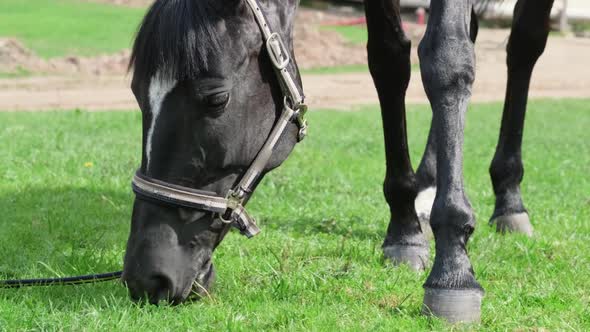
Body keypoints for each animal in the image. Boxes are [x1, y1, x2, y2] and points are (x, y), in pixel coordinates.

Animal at [122, 0, 556, 322]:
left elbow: (448, 59)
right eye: (137, 92)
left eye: (216, 99)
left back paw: (509, 196)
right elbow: (388, 58)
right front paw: (404, 228)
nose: (147, 276)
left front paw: (453, 270)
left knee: (524, 44)